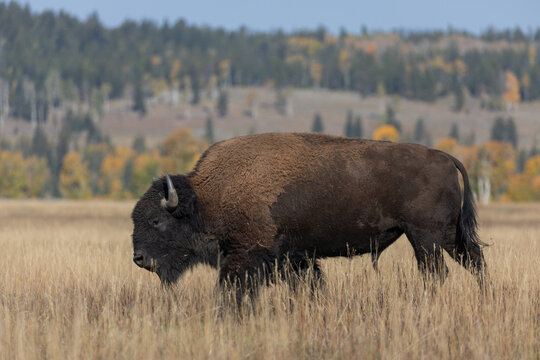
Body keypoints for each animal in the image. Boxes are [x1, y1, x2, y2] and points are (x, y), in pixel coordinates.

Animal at [133, 132, 488, 300]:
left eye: (156, 221)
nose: (138, 258)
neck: (207, 197)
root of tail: (444, 156)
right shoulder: (296, 257)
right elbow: (308, 284)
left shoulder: (246, 256)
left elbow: (235, 287)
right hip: (447, 236)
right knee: (474, 261)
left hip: (424, 237)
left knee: (436, 272)